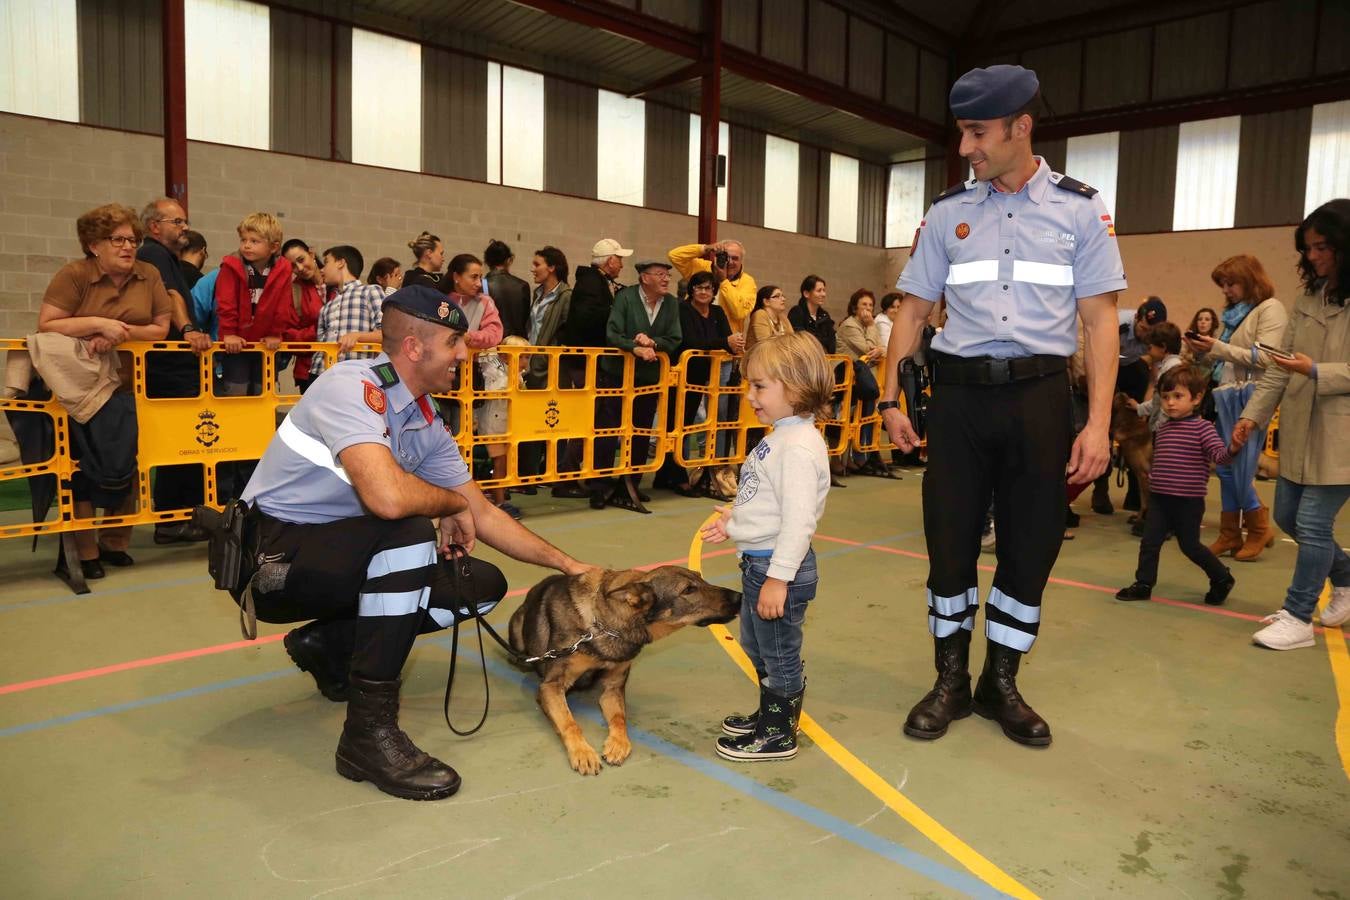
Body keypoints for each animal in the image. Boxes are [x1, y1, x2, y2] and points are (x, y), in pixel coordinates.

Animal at [507, 569, 739, 777]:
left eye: (700, 578)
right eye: (688, 589)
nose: (740, 596)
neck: (602, 628)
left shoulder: (612, 688)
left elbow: (619, 717)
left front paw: (618, 744)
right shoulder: (551, 687)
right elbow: (569, 722)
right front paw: (583, 753)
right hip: (517, 635)